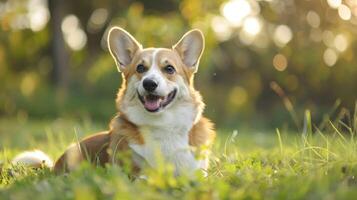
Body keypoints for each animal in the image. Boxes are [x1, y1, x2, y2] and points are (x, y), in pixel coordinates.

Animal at [11, 27, 216, 177]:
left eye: (169, 69)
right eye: (140, 68)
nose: (149, 83)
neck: (161, 125)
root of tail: (54, 165)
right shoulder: (135, 175)